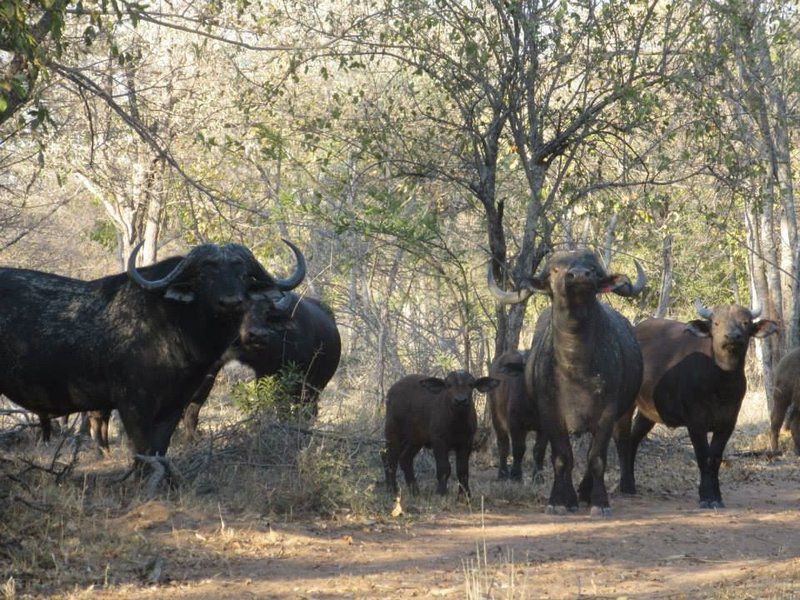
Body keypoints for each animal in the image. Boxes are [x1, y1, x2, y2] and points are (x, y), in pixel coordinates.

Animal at [0, 241, 304, 458]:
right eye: (205, 274)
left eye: (242, 274)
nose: (231, 302)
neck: (171, 324)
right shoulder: (132, 404)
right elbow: (142, 448)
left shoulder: (175, 403)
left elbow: (160, 446)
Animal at [484, 352, 548, 482]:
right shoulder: (516, 425)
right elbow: (519, 448)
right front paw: (516, 475)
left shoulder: (545, 427)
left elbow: (539, 450)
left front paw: (538, 477)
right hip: (497, 418)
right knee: (503, 445)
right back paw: (503, 473)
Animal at [620, 300, 780, 506]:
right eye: (716, 323)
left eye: (745, 323)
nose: (732, 336)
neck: (720, 382)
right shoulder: (696, 422)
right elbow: (703, 456)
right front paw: (706, 496)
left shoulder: (728, 422)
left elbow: (716, 458)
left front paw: (716, 496)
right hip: (626, 403)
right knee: (622, 439)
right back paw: (625, 485)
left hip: (649, 411)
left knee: (634, 438)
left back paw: (631, 483)